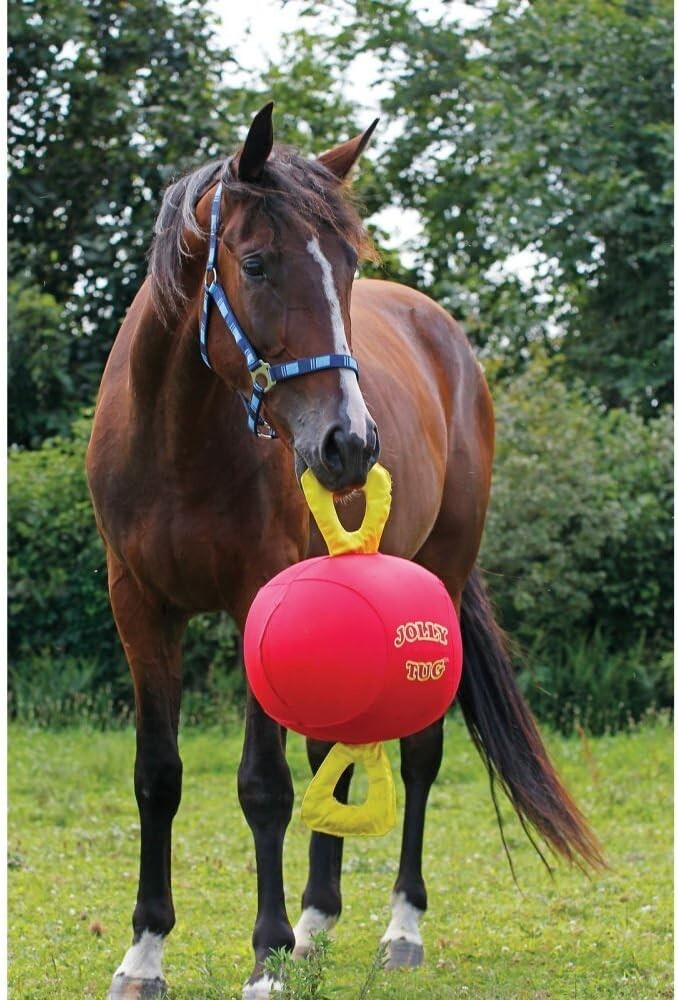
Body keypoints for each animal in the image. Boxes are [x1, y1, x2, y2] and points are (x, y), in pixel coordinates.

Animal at [87, 102, 603, 1000]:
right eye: (257, 263)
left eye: (350, 267)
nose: (350, 445)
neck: (177, 438)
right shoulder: (140, 606)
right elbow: (158, 775)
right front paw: (145, 953)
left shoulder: (257, 597)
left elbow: (264, 784)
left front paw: (264, 959)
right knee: (337, 746)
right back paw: (316, 923)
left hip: (441, 575)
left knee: (420, 754)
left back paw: (399, 929)